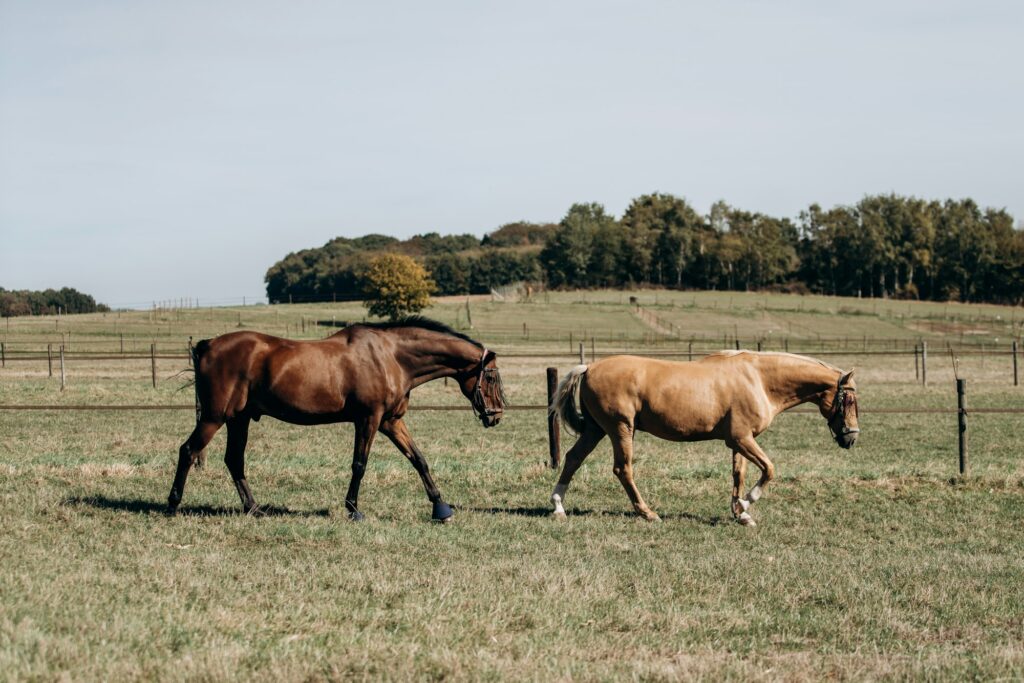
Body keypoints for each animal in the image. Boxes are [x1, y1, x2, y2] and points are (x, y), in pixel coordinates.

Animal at [165, 317, 505, 520]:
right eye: (490, 377)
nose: (496, 415)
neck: (391, 357)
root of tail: (208, 345)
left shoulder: (391, 422)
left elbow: (419, 460)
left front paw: (441, 507)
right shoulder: (369, 419)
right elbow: (359, 465)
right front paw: (353, 510)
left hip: (239, 419)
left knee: (234, 460)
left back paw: (254, 508)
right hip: (214, 417)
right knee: (188, 451)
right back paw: (172, 504)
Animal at [552, 350, 856, 528]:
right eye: (850, 399)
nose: (851, 438)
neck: (759, 379)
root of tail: (589, 368)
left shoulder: (739, 441)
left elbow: (738, 475)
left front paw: (740, 513)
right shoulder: (742, 439)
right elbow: (769, 469)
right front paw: (747, 503)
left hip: (596, 430)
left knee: (573, 459)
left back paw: (558, 507)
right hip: (621, 429)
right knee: (622, 469)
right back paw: (647, 513)